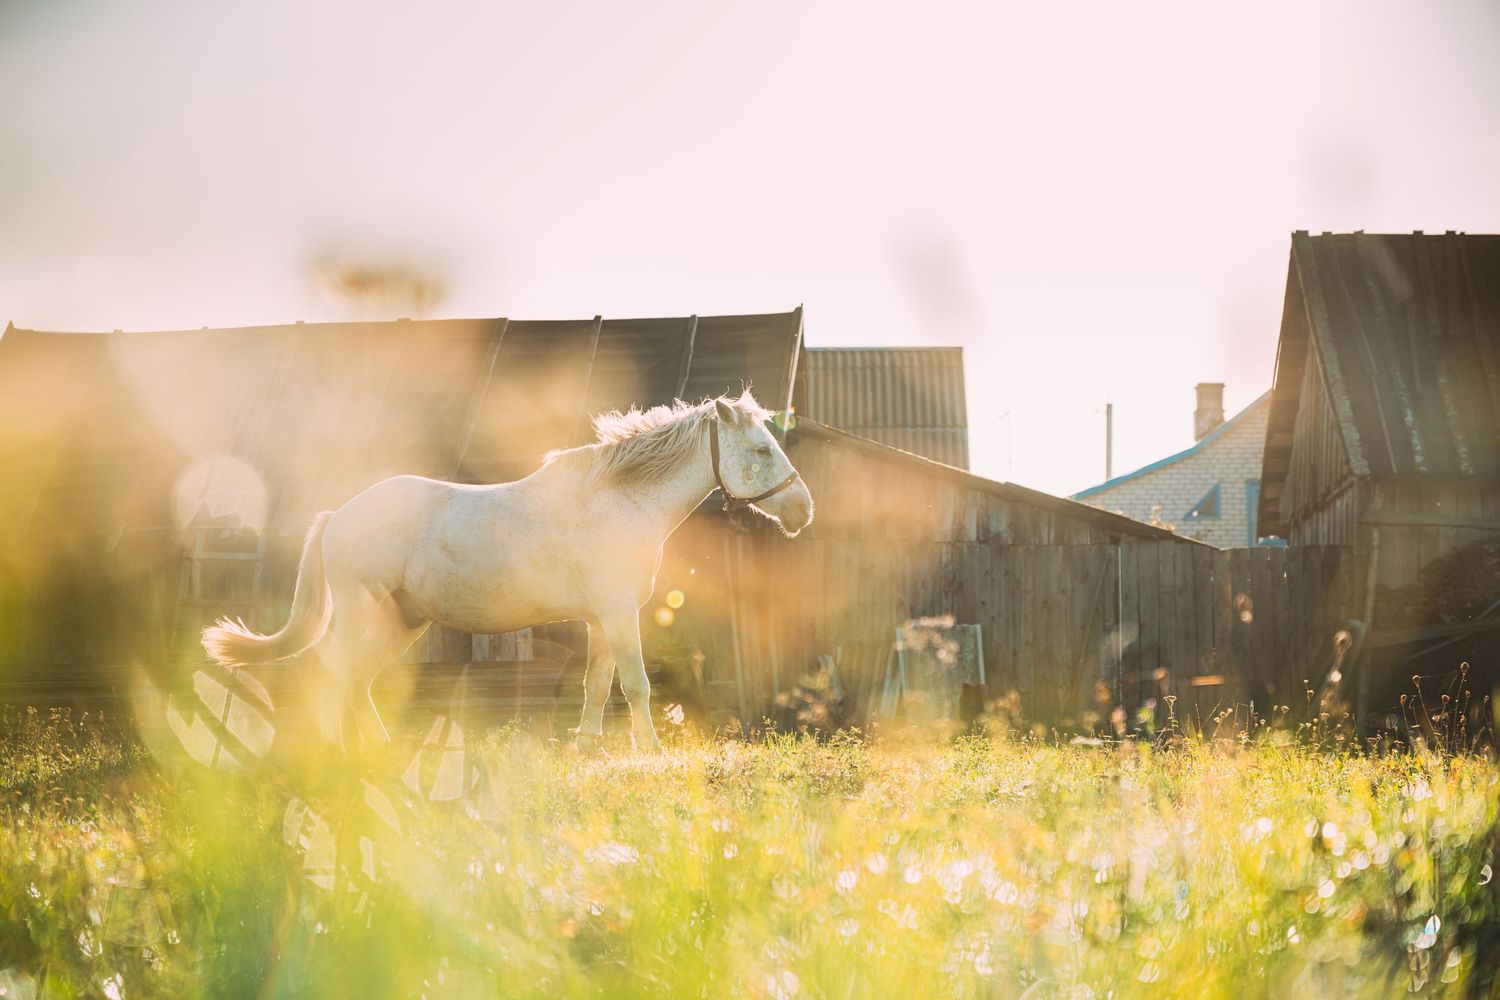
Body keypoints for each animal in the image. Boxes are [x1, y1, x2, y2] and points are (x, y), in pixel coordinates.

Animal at [201, 391, 813, 752]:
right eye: (762, 449)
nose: (803, 511)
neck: (618, 501)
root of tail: (337, 517)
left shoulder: (600, 618)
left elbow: (597, 685)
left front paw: (586, 746)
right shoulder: (619, 613)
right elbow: (636, 684)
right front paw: (652, 750)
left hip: (402, 623)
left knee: (357, 678)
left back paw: (378, 751)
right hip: (360, 612)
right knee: (332, 672)